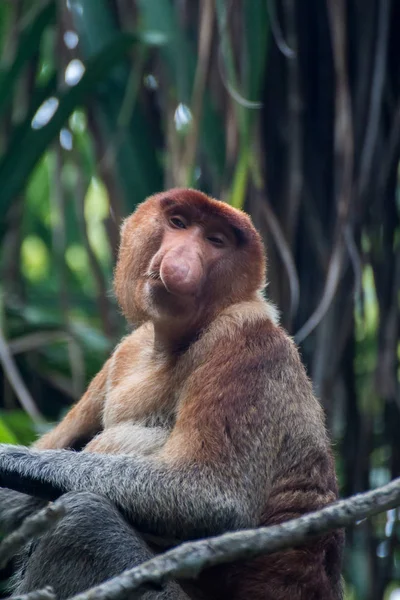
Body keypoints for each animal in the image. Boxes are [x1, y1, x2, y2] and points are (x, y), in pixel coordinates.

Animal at [0, 189, 342, 600]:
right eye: (178, 223)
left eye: (215, 240)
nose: (181, 262)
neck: (173, 345)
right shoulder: (127, 351)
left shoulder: (245, 343)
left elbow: (212, 497)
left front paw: (7, 459)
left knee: (85, 520)